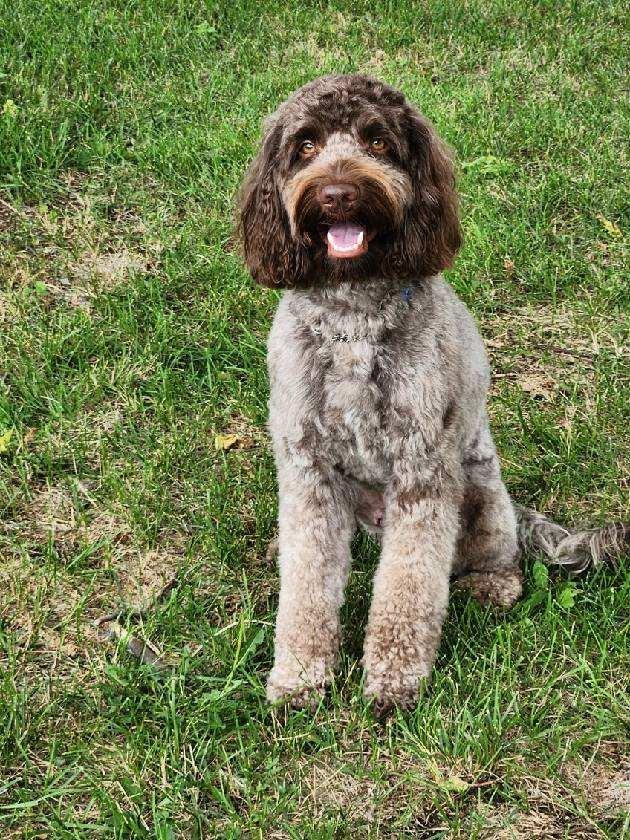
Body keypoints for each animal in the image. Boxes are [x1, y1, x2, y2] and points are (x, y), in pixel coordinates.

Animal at [237, 74, 627, 715]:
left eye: (376, 139)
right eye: (306, 144)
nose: (338, 194)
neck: (354, 317)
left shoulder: (422, 472)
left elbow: (409, 583)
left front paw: (394, 682)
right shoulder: (308, 469)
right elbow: (308, 583)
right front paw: (298, 679)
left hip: (480, 493)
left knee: (500, 557)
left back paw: (491, 586)